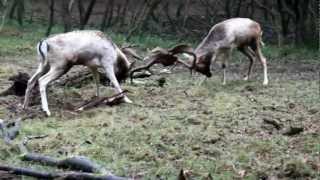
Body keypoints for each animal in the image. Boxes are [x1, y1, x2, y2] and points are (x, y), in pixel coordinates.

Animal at [130, 17, 268, 85]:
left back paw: (265, 82)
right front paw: (202, 82)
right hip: (242, 46)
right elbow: (214, 62)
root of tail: (259, 26)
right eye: (198, 69)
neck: (218, 39)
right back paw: (246, 78)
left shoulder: (229, 47)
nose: (209, 75)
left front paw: (223, 82)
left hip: (254, 42)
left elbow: (224, 65)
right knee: (252, 57)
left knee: (263, 59)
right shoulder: (219, 50)